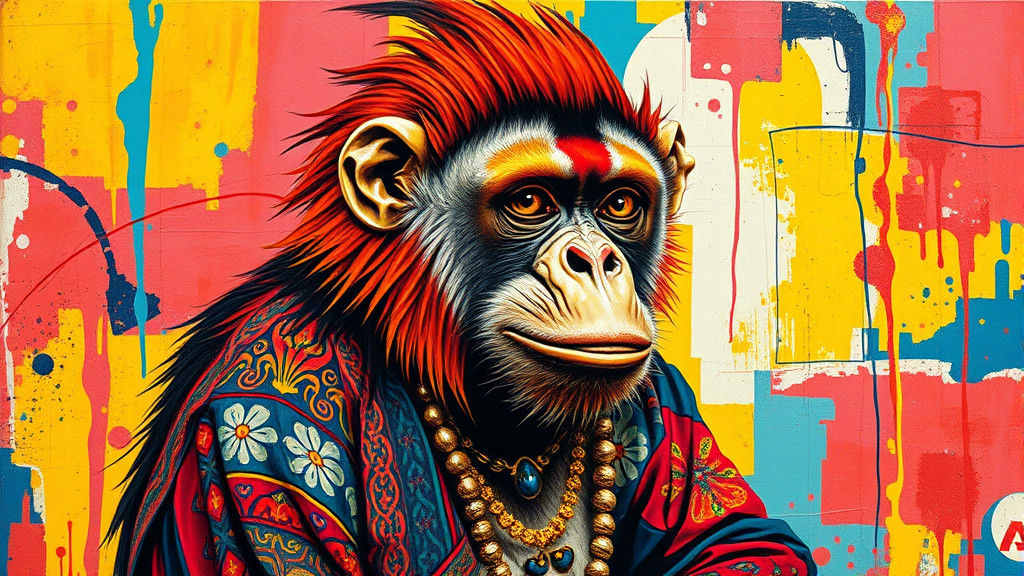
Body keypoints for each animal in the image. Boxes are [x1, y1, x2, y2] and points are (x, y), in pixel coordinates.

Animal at [108, 2, 816, 576]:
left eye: (619, 204)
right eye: (530, 201)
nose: (595, 259)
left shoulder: (661, 391)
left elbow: (743, 540)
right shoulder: (266, 414)